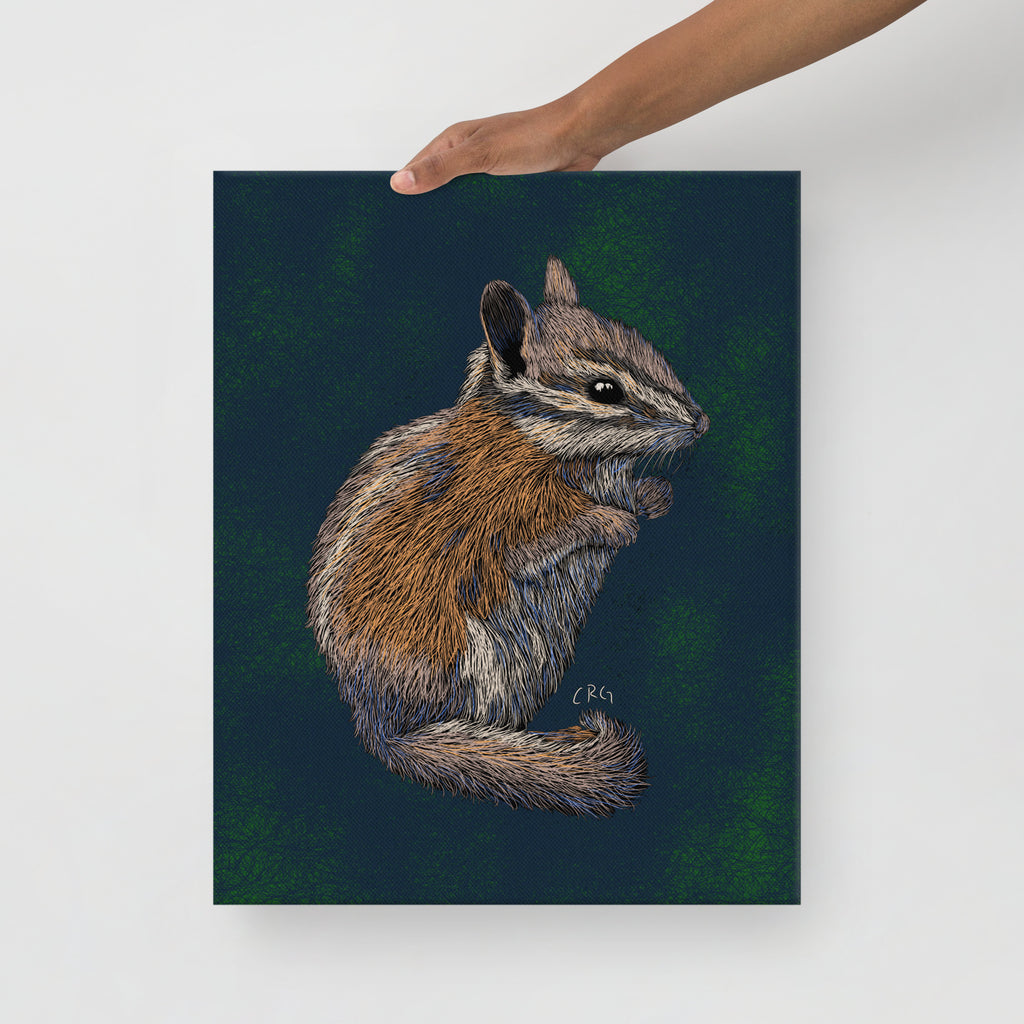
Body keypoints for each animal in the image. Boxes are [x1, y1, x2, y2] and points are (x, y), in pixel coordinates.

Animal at [307, 257, 708, 817]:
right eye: (604, 390)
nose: (702, 422)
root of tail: (382, 724)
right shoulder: (502, 524)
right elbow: (540, 542)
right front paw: (614, 522)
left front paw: (653, 496)